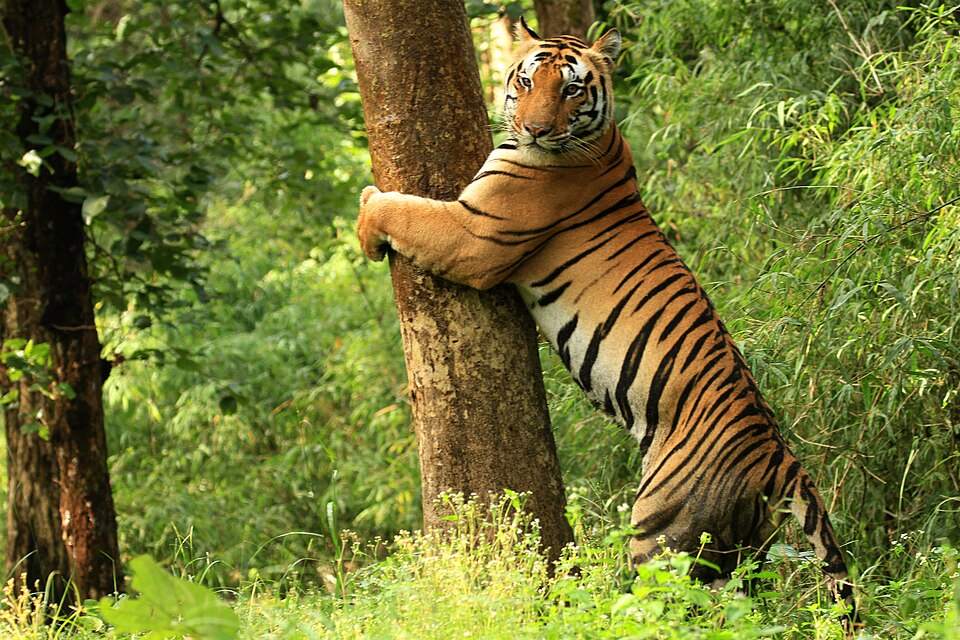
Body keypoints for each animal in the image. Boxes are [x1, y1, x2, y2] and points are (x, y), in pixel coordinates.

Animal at [357, 17, 855, 619]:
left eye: (571, 89)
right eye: (526, 81)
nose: (535, 129)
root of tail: (778, 456)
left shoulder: (472, 234)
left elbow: (402, 209)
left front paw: (365, 219)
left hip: (663, 535)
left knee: (672, 610)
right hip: (742, 552)